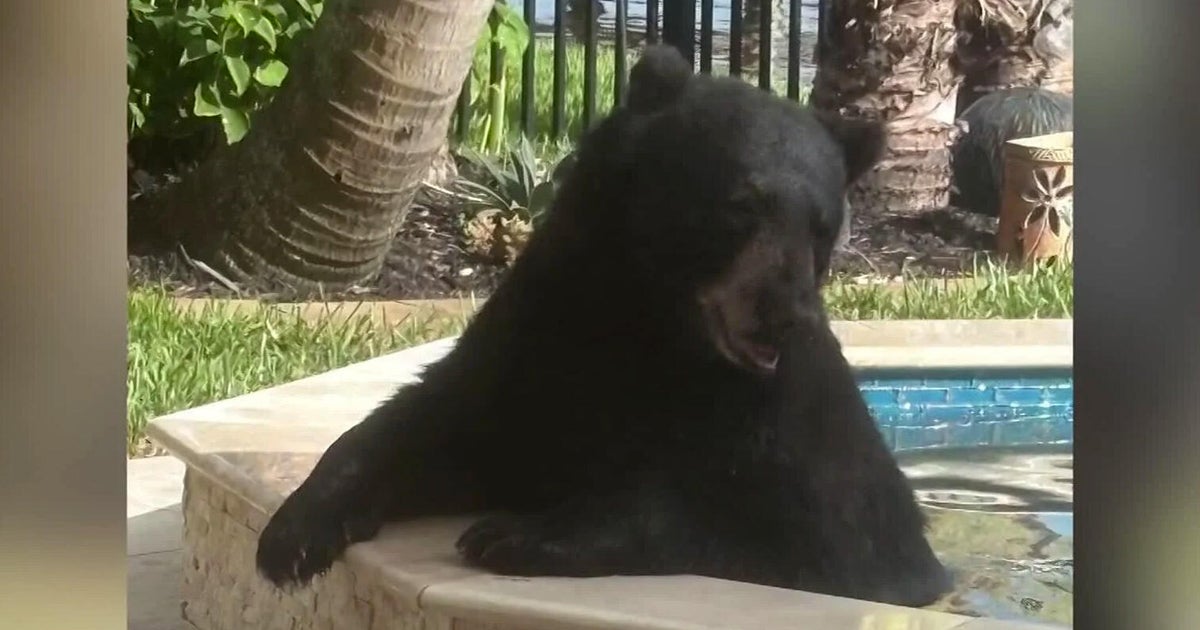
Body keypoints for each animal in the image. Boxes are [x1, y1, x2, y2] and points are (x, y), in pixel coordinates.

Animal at [255, 44, 952, 608]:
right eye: (741, 206)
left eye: (823, 226)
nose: (787, 318)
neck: (651, 318)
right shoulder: (539, 329)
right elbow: (437, 421)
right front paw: (292, 535)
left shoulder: (779, 429)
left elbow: (771, 522)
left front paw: (515, 533)